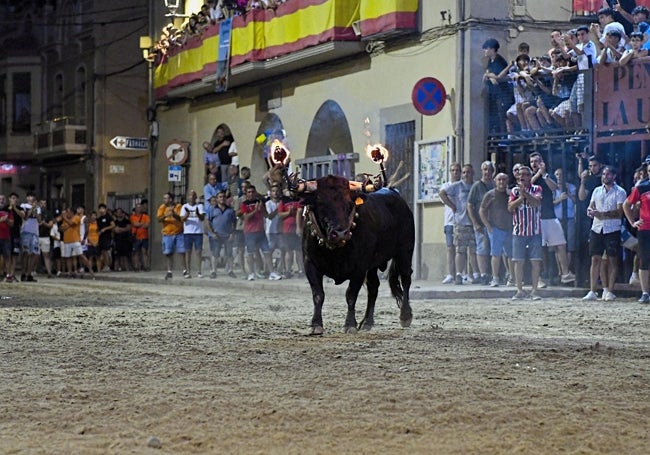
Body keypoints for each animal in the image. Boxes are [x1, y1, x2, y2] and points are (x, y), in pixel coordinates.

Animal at [300, 175, 416, 334]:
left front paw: (350, 325)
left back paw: (405, 315)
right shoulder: (310, 263)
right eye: (321, 203)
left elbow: (351, 295)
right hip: (373, 265)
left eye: (349, 204)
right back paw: (367, 322)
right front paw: (316, 325)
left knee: (405, 279)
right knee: (374, 287)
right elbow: (318, 295)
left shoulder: (359, 268)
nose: (341, 233)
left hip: (405, 251)